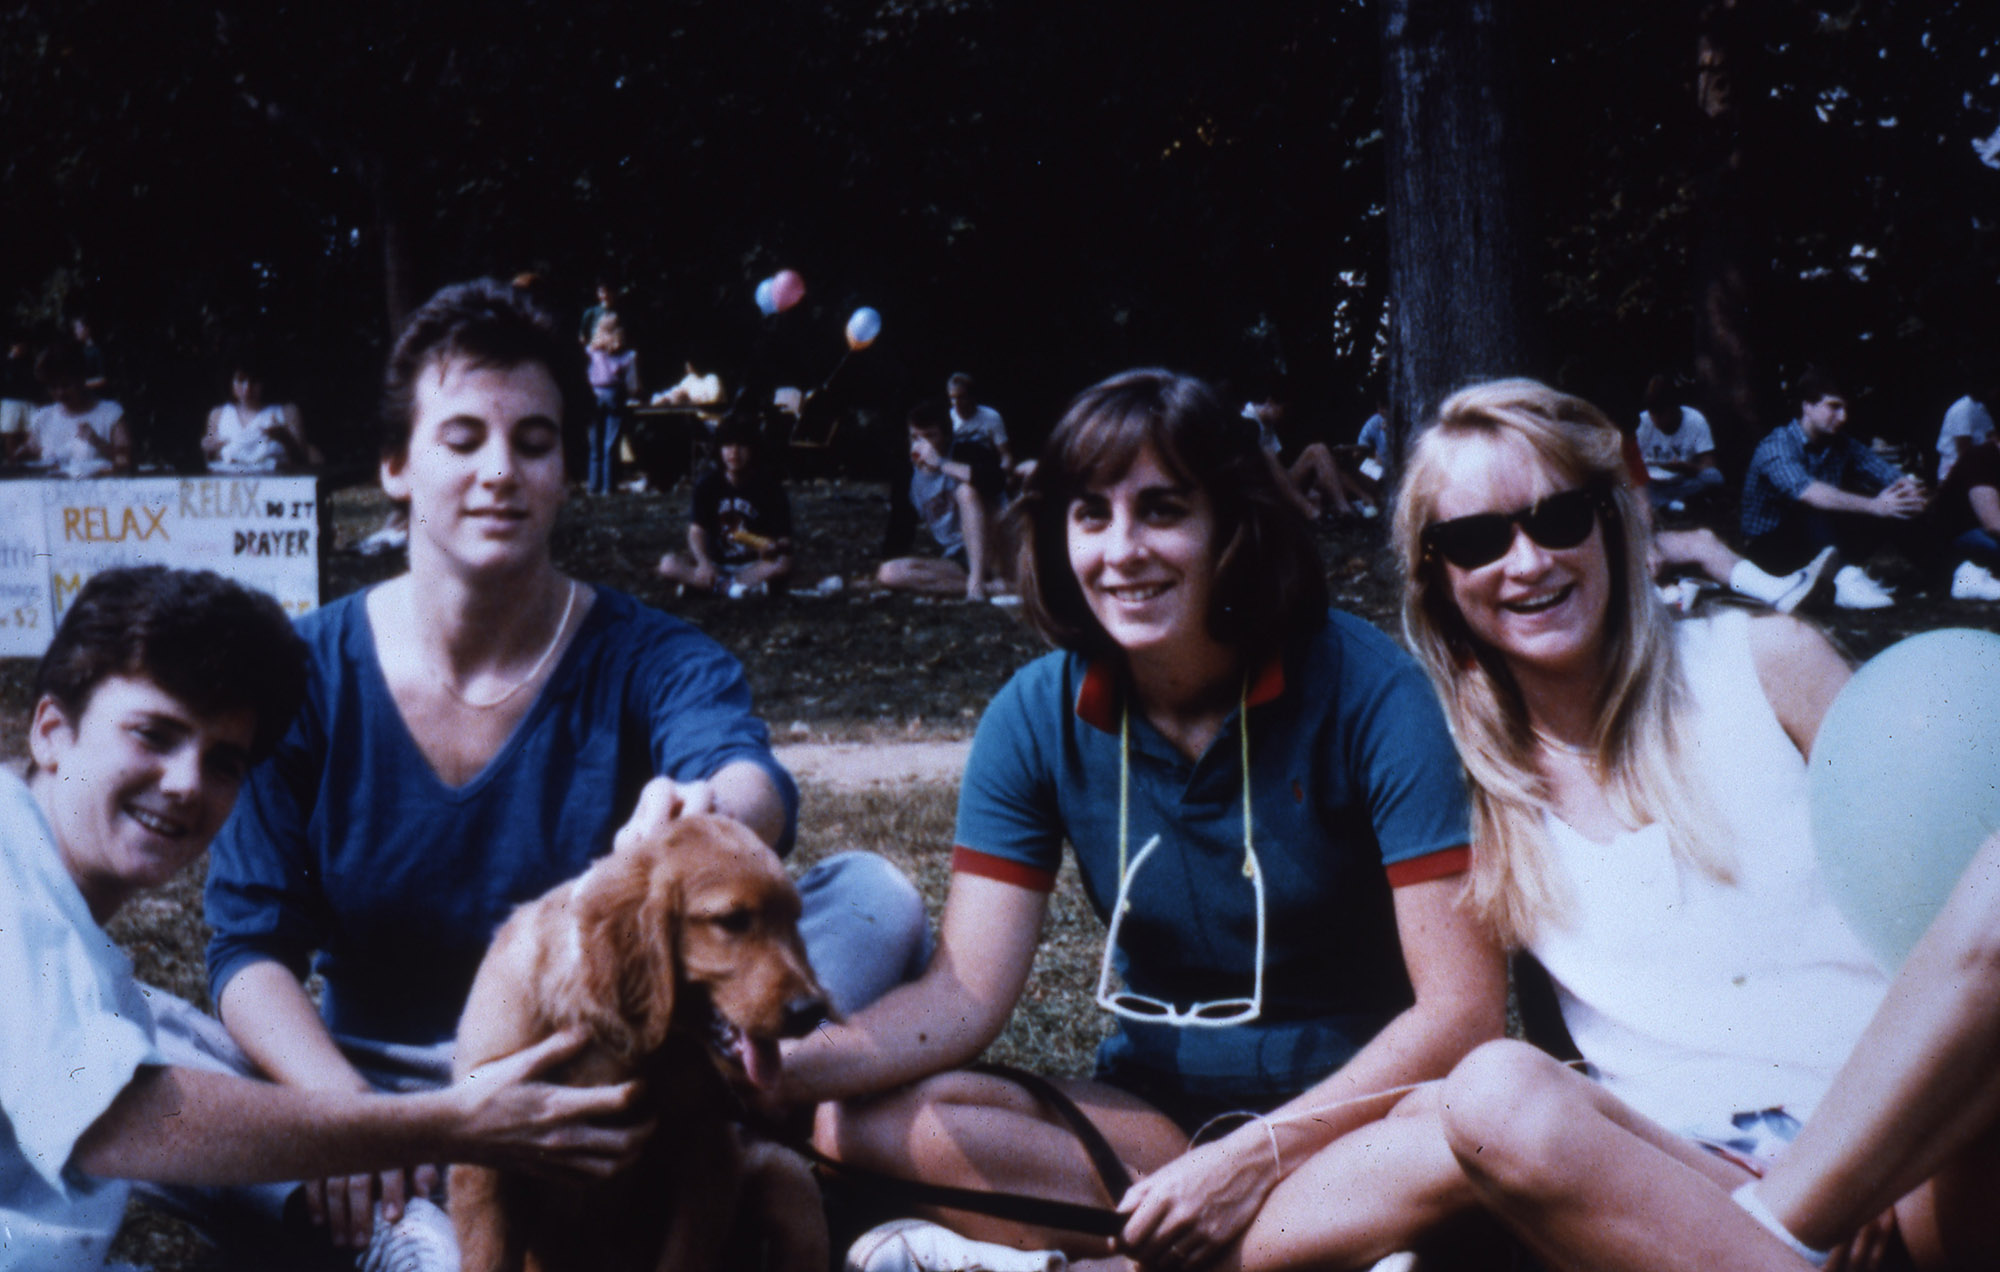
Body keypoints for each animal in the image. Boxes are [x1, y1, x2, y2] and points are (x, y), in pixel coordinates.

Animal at [450, 812, 832, 1272]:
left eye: (795, 920)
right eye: (733, 921)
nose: (812, 1009)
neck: (613, 1039)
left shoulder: (708, 1156)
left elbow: (681, 1258)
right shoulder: (486, 1157)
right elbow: (488, 1255)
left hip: (788, 1181)